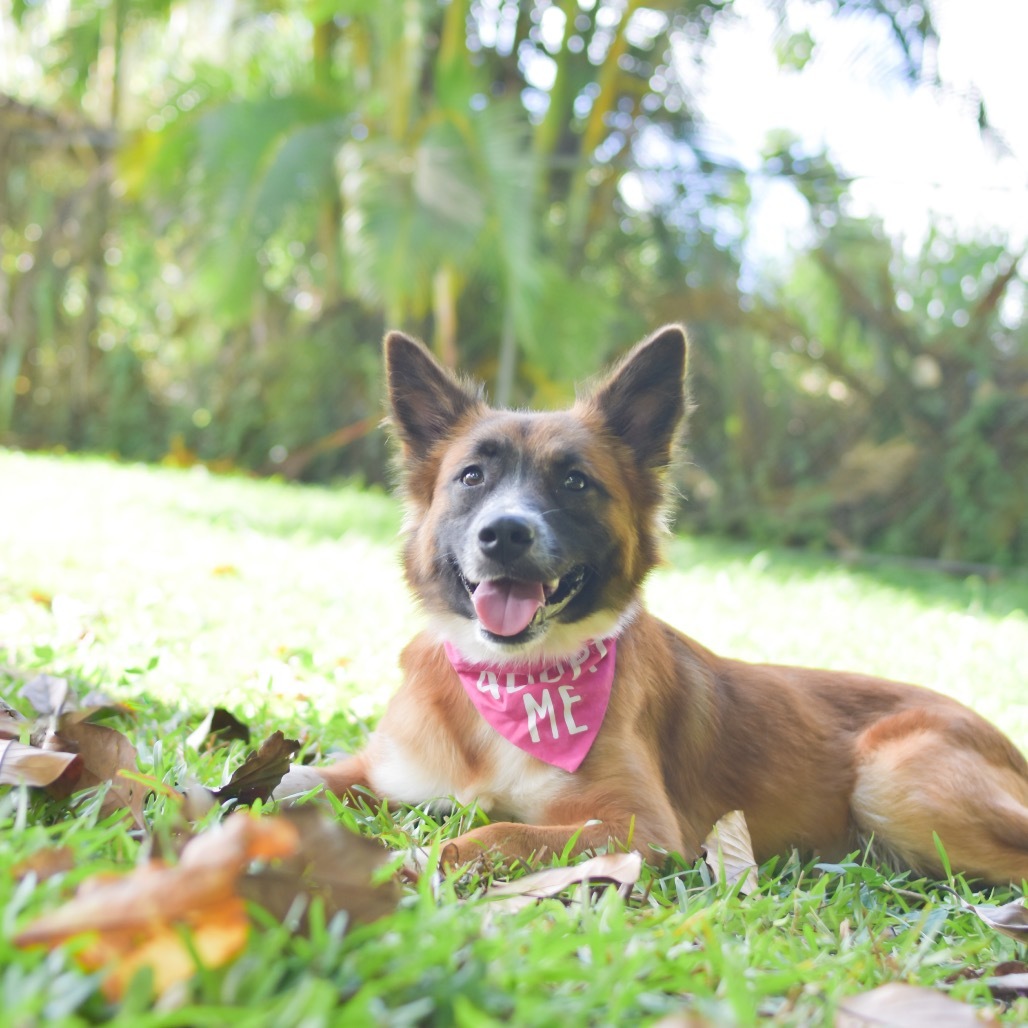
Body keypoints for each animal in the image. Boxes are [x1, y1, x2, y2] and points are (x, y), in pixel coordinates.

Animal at [304, 326, 1028, 884]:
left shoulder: (640, 828)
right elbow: (302, 780)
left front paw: (389, 863)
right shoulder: (378, 772)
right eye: (471, 477)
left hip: (891, 781)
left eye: (575, 481)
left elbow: (494, 834)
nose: (504, 534)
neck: (514, 683)